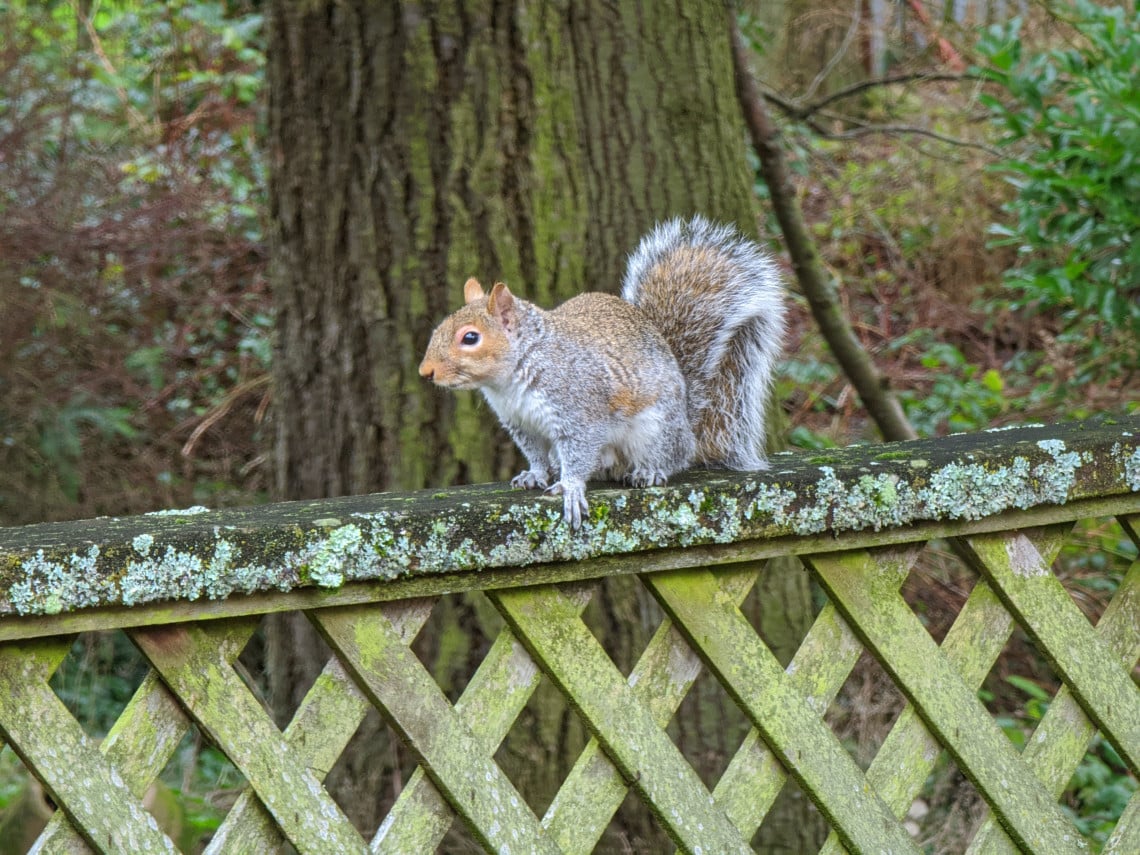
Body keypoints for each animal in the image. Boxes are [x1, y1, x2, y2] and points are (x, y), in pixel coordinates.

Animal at [419, 217, 784, 528]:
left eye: (470, 338)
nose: (426, 371)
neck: (510, 381)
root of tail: (688, 421)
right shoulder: (522, 423)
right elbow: (536, 453)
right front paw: (535, 475)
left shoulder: (580, 411)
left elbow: (579, 451)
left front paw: (569, 487)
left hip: (655, 430)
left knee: (672, 457)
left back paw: (650, 471)